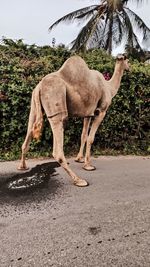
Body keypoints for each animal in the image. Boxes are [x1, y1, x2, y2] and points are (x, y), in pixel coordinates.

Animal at [17, 54, 130, 188]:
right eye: (128, 60)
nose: (130, 68)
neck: (109, 87)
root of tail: (39, 87)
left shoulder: (88, 113)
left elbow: (83, 136)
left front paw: (79, 159)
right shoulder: (101, 111)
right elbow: (91, 138)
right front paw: (88, 165)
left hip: (34, 106)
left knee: (29, 129)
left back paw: (22, 166)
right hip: (56, 102)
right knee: (58, 149)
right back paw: (79, 180)